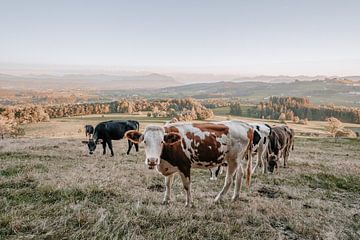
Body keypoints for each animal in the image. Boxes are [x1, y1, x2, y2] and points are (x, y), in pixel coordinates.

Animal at [125, 121, 255, 207]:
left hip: (234, 160)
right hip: (237, 160)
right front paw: (166, 200)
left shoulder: (184, 166)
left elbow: (187, 185)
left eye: (161, 142)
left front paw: (189, 203)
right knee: (240, 175)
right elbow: (168, 184)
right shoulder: (170, 166)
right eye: (145, 141)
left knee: (229, 180)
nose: (152, 160)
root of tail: (246, 125)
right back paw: (235, 197)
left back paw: (218, 199)